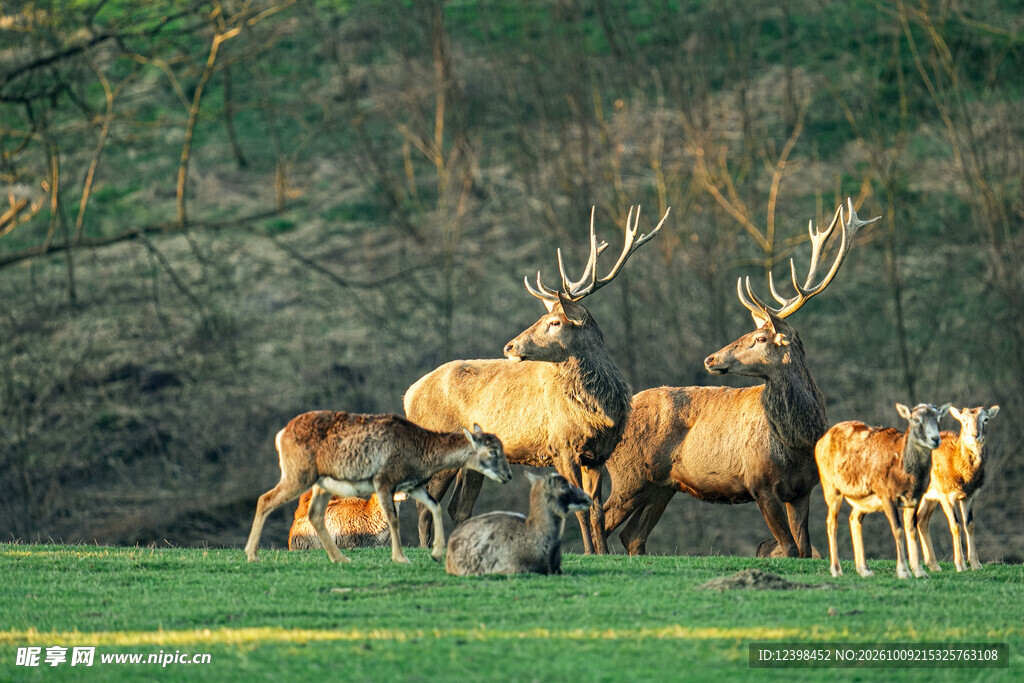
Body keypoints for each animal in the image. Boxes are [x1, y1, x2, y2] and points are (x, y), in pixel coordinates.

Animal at [244, 412, 511, 564]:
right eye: (492, 451)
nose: (507, 476)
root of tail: (281, 434)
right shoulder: (384, 481)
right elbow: (394, 517)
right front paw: (401, 558)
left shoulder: (412, 485)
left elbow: (434, 506)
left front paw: (435, 553)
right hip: (298, 476)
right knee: (265, 500)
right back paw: (252, 555)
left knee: (314, 514)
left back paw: (340, 559)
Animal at [404, 205, 671, 555]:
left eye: (555, 321)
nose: (509, 346)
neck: (598, 412)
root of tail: (409, 394)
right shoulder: (561, 446)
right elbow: (577, 509)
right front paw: (588, 553)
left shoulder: (597, 455)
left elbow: (596, 510)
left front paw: (604, 553)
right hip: (439, 441)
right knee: (425, 502)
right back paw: (427, 549)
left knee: (457, 507)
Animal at [601, 199, 878, 558]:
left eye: (759, 338)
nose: (710, 358)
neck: (798, 443)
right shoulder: (759, 482)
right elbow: (789, 549)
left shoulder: (803, 489)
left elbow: (804, 549)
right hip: (630, 475)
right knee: (600, 518)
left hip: (664, 485)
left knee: (632, 535)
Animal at [816, 402, 950, 579]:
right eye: (915, 419)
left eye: (939, 418)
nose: (935, 439)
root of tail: (820, 442)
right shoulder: (887, 496)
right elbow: (898, 529)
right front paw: (903, 572)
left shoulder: (915, 499)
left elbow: (911, 529)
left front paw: (920, 572)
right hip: (831, 488)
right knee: (832, 522)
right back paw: (837, 570)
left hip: (863, 501)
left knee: (854, 519)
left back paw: (865, 570)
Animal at [916, 405, 999, 572]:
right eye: (963, 420)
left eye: (986, 419)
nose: (975, 435)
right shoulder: (945, 494)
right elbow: (956, 525)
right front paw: (960, 565)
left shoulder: (969, 496)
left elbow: (970, 525)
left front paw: (976, 564)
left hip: (929, 496)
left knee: (921, 519)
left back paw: (934, 565)